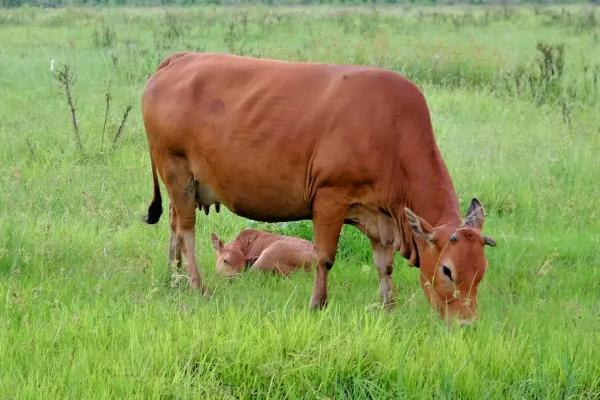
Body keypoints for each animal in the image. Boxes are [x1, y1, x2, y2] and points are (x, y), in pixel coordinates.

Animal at [142, 51, 496, 324]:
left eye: (481, 272)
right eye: (448, 271)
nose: (466, 324)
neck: (393, 132)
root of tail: (180, 58)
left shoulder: (380, 213)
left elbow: (384, 264)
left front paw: (387, 306)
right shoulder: (330, 198)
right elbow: (324, 257)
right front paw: (317, 304)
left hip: (185, 183)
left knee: (174, 224)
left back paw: (174, 274)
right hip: (175, 168)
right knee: (186, 231)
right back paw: (197, 285)